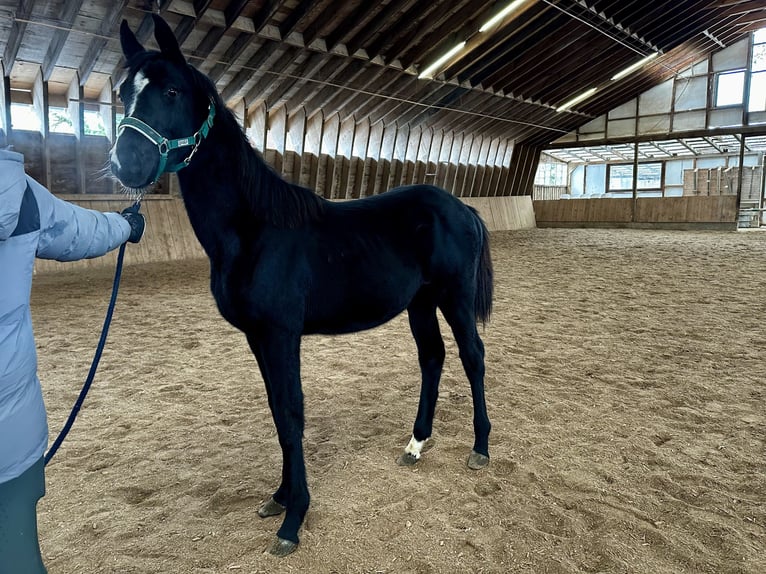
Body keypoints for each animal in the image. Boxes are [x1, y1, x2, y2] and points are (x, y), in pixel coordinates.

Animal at [113, 15, 496, 560]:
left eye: (170, 90)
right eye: (123, 92)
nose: (126, 163)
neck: (254, 229)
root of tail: (461, 206)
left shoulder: (281, 335)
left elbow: (292, 414)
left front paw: (293, 520)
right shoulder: (258, 338)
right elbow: (278, 412)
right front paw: (278, 497)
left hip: (454, 297)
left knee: (472, 357)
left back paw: (480, 447)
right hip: (420, 302)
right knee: (433, 358)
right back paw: (416, 444)